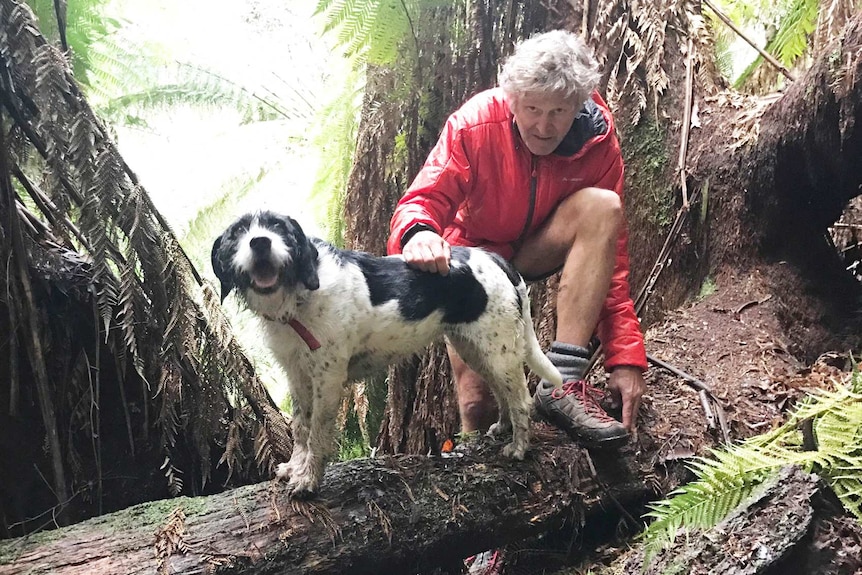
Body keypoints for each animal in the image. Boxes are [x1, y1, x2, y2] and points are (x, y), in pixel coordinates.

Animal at [209, 210, 560, 496]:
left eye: (278, 227)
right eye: (238, 232)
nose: (260, 243)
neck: (299, 298)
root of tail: (493, 259)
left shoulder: (328, 378)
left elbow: (317, 433)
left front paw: (308, 480)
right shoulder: (297, 376)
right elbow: (300, 428)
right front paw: (295, 468)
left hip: (497, 349)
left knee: (522, 400)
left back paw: (519, 447)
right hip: (477, 349)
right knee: (503, 392)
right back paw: (503, 428)